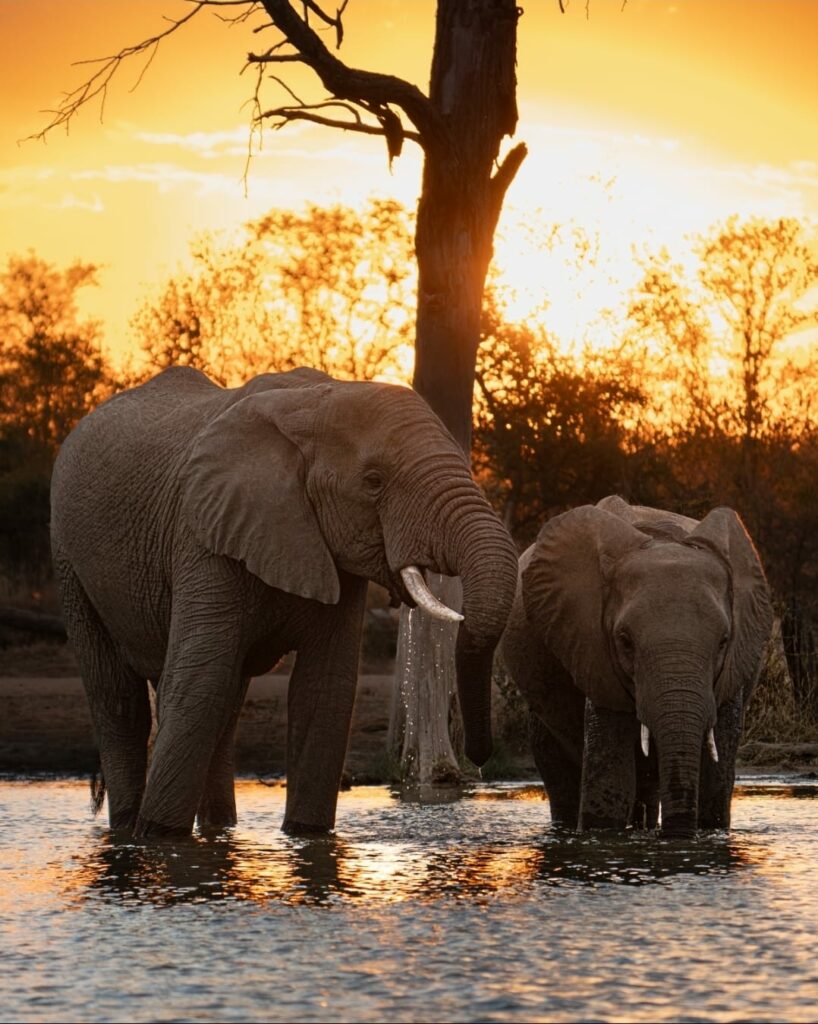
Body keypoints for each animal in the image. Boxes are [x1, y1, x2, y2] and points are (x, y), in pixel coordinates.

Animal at [51, 366, 518, 837]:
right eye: (373, 482)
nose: (477, 761)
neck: (316, 403)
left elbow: (324, 689)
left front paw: (305, 835)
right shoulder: (203, 537)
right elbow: (198, 682)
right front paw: (159, 838)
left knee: (226, 701)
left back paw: (220, 828)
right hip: (69, 560)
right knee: (122, 700)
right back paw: (128, 829)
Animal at [500, 495, 773, 837]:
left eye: (724, 641)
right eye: (625, 641)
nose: (677, 837)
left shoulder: (731, 672)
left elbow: (715, 787)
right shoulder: (594, 650)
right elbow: (610, 782)